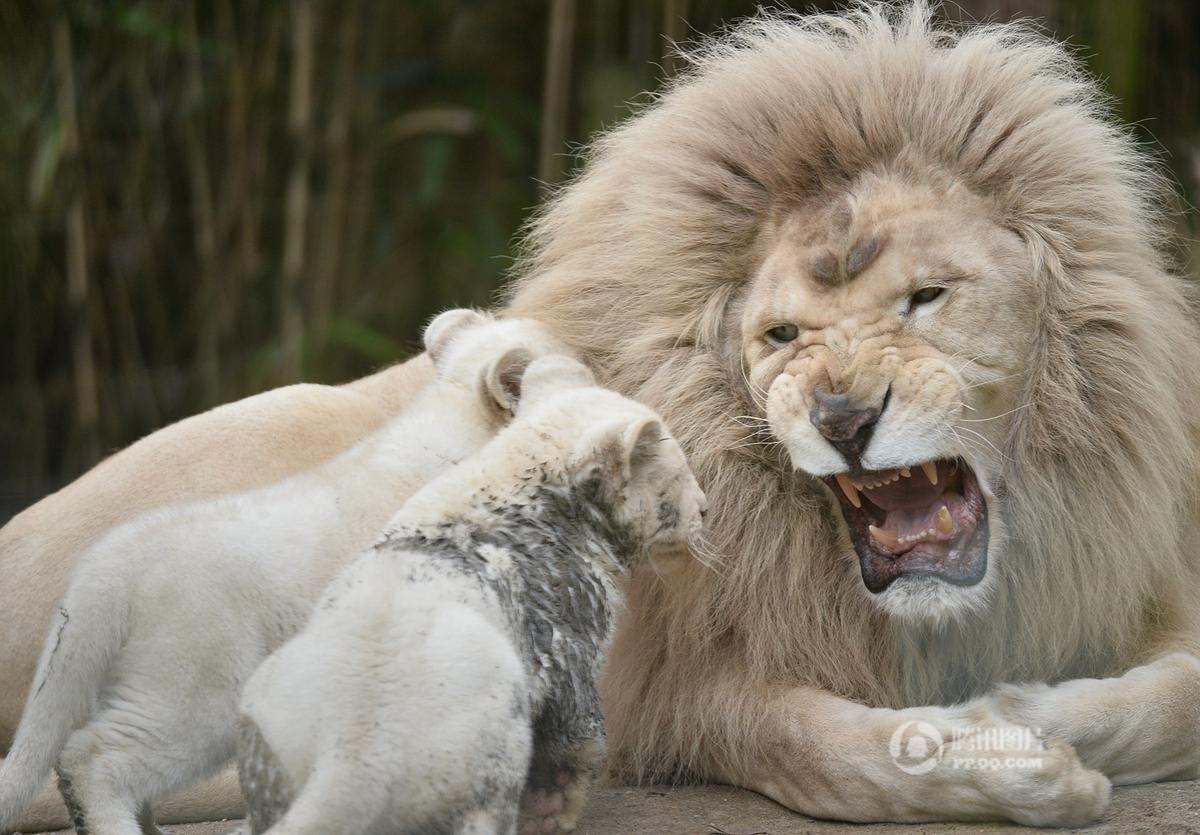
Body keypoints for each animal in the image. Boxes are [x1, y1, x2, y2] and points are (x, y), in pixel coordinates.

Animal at [2, 3, 1200, 830]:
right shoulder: (667, 688)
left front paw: (1033, 712)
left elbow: (1172, 693)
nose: (845, 417)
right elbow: (823, 750)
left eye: (926, 298)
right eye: (782, 337)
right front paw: (1015, 760)